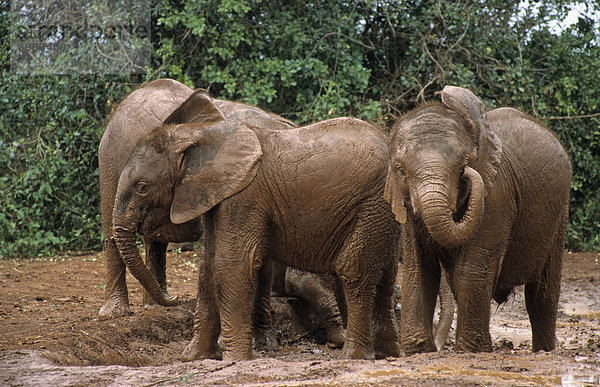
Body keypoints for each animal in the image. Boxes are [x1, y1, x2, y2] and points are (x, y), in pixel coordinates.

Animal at [112, 95, 404, 362]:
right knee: (386, 274)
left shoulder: (244, 196)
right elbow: (208, 266)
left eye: (142, 187)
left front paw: (234, 360)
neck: (199, 135)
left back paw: (353, 357)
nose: (171, 298)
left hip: (371, 204)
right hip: (383, 209)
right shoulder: (215, 196)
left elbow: (232, 264)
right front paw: (193, 358)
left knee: (354, 272)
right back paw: (387, 353)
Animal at [384, 85, 572, 354]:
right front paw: (419, 350)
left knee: (542, 294)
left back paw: (543, 351)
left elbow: (470, 269)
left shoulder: (497, 196)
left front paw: (471, 350)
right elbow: (419, 269)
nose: (469, 175)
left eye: (463, 166)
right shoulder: (407, 209)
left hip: (560, 212)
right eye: (400, 170)